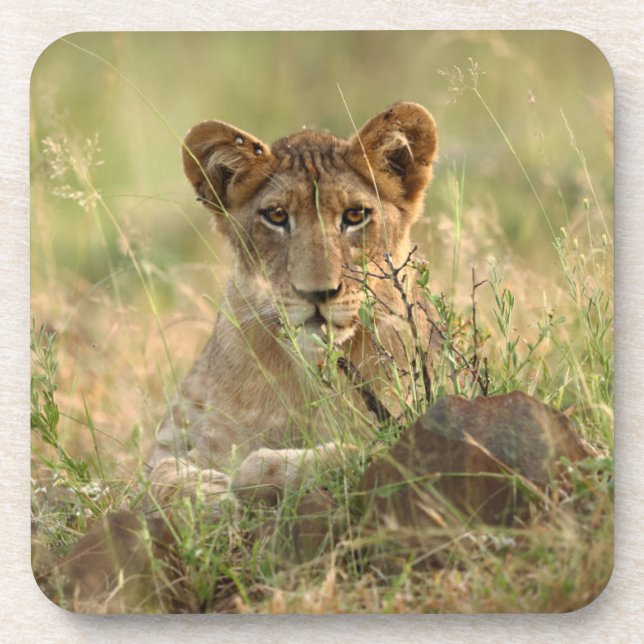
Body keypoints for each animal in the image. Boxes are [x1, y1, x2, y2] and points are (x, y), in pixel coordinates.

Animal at [149, 101, 439, 507]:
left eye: (354, 215)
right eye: (276, 216)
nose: (317, 293)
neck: (312, 374)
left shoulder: (410, 422)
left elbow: (352, 452)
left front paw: (251, 474)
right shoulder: (204, 442)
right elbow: (156, 476)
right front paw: (208, 493)